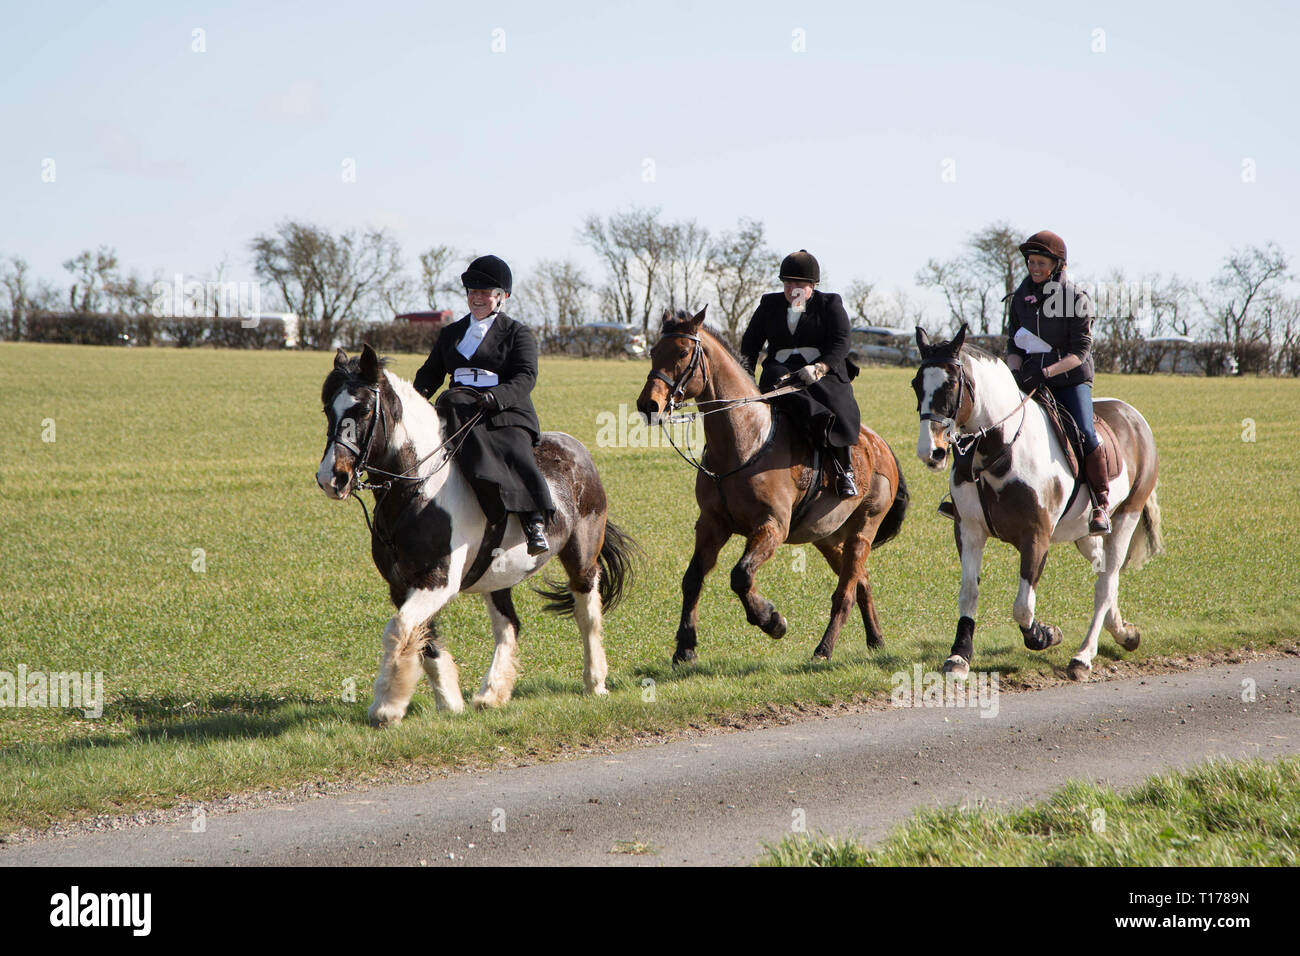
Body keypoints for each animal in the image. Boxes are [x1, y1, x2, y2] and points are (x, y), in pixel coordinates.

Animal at [317, 343, 637, 723]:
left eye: (364, 409)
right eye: (327, 409)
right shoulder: (401, 585)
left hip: (581, 558)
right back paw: (491, 694)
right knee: (509, 625)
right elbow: (423, 638)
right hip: (496, 574)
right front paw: (449, 703)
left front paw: (387, 706)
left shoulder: (437, 582)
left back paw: (595, 683)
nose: (331, 478)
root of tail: (576, 449)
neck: (420, 490)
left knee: (586, 614)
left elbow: (400, 629)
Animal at [637, 308, 904, 665]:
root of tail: (882, 446)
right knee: (862, 582)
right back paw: (876, 640)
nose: (648, 406)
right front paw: (685, 648)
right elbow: (693, 579)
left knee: (845, 592)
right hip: (828, 537)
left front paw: (771, 620)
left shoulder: (771, 527)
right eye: (653, 351)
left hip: (863, 530)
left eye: (682, 353)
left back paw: (824, 649)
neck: (746, 439)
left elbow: (741, 575)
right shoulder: (711, 525)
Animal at [909, 327, 1164, 681]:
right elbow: (969, 591)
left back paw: (1083, 656)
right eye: (916, 384)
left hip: (1126, 516)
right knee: (1103, 570)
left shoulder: (1036, 537)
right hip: (1084, 532)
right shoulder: (968, 531)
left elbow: (1022, 607)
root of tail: (1134, 417)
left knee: (1106, 582)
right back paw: (1123, 632)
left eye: (950, 385)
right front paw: (959, 656)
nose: (929, 452)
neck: (997, 448)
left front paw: (1046, 635)